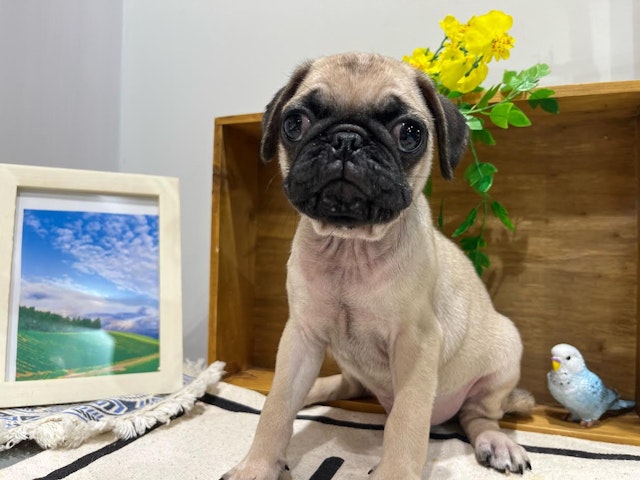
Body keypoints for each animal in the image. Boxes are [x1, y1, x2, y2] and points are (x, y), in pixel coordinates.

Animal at [222, 50, 532, 478]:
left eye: (410, 133)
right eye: (294, 123)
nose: (347, 138)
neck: (349, 247)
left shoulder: (416, 344)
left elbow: (406, 420)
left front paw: (394, 471)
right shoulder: (300, 337)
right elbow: (277, 406)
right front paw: (258, 465)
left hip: (502, 357)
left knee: (477, 415)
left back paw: (496, 441)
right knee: (340, 385)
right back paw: (313, 391)